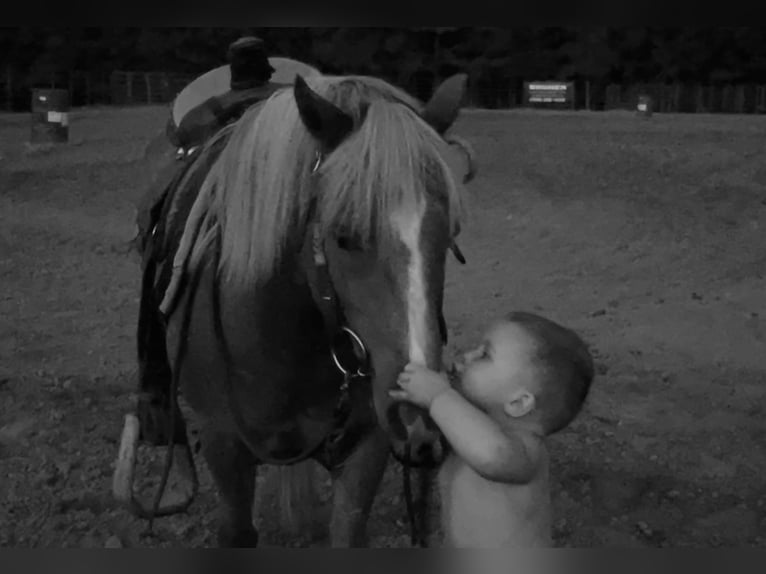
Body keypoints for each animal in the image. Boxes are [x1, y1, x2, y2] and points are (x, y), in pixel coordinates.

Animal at [115, 72, 476, 548]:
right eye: (343, 236)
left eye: (449, 232)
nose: (415, 411)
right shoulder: (222, 442)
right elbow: (237, 530)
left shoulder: (368, 444)